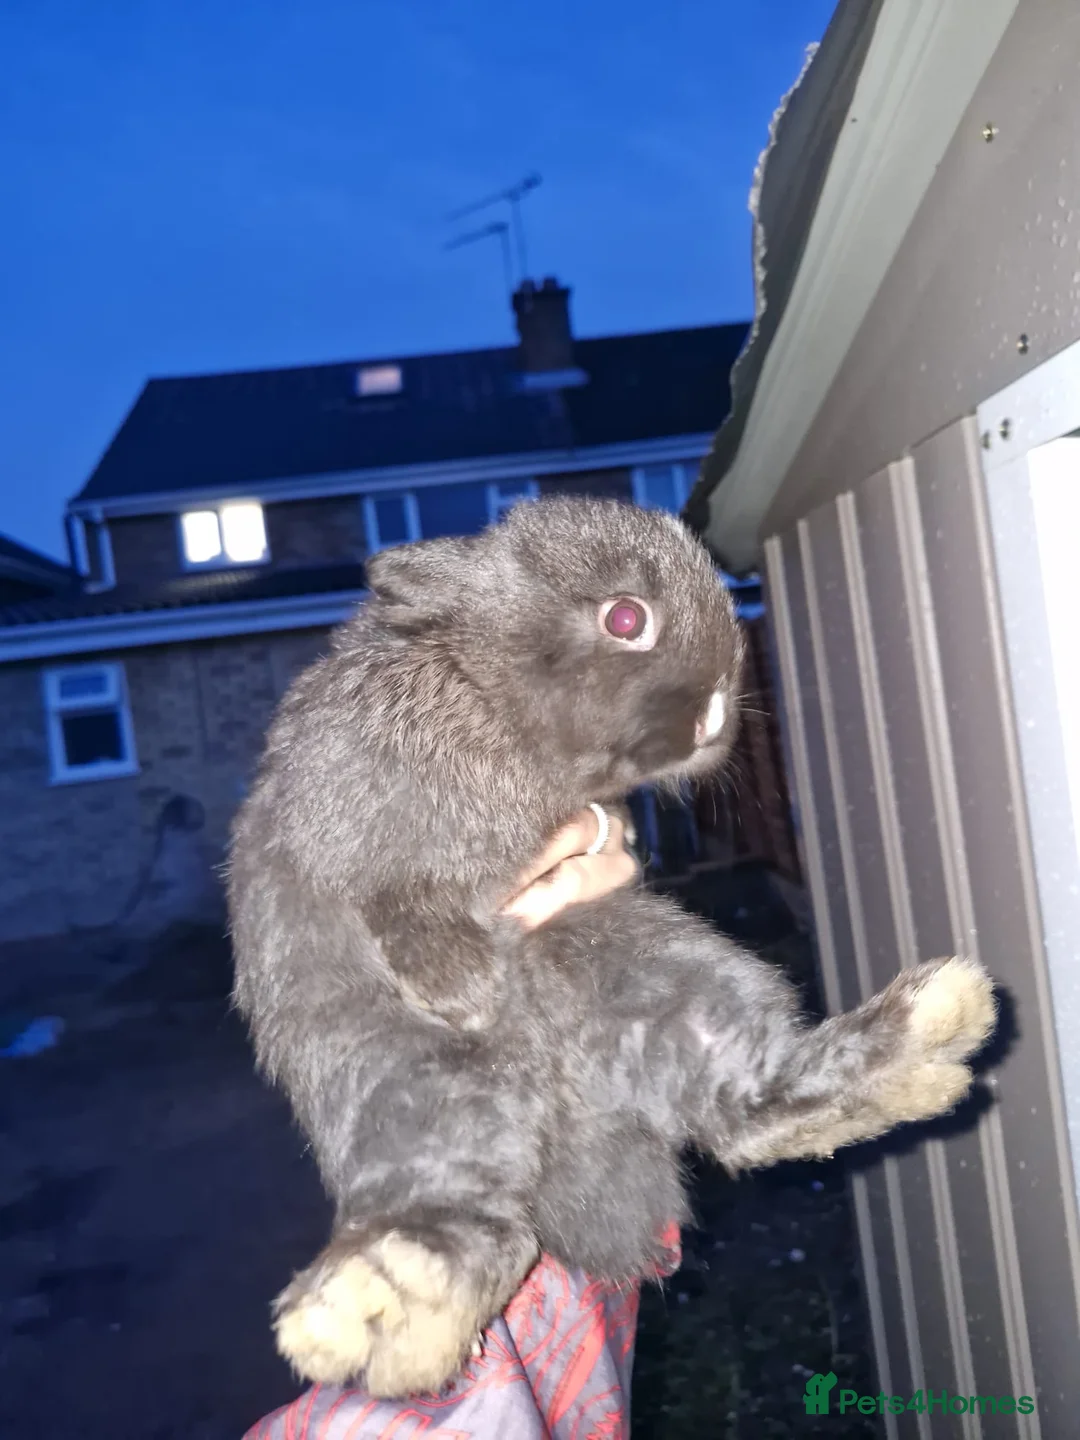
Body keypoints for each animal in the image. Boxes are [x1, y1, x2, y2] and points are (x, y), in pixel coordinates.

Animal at [227, 495, 996, 1399]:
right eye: (626, 619)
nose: (715, 712)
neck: (489, 695)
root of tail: (570, 1109)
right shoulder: (355, 833)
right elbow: (399, 900)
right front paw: (462, 985)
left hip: (660, 974)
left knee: (744, 1112)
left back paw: (920, 1039)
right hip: (413, 1085)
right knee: (465, 1210)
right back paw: (395, 1302)